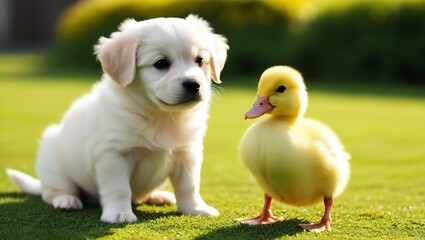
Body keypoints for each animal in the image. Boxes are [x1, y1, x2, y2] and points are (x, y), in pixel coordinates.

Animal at [5, 15, 229, 224]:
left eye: (199, 60)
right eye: (161, 63)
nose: (193, 85)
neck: (161, 117)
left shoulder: (187, 153)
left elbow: (188, 186)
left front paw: (196, 209)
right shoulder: (113, 155)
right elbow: (119, 189)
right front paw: (119, 214)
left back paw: (157, 196)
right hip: (54, 166)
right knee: (53, 192)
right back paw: (67, 200)